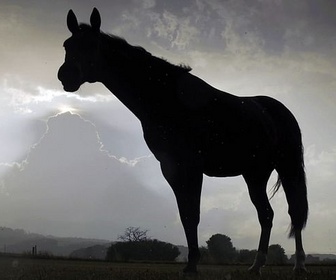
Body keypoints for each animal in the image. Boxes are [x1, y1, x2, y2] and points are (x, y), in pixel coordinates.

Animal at [57, 8, 308, 274]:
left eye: (91, 45)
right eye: (67, 45)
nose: (66, 76)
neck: (169, 99)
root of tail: (279, 110)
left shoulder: (191, 166)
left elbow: (193, 213)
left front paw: (193, 264)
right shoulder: (171, 168)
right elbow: (186, 215)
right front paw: (191, 264)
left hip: (286, 168)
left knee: (294, 212)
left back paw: (299, 265)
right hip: (255, 174)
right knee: (266, 215)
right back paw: (256, 265)